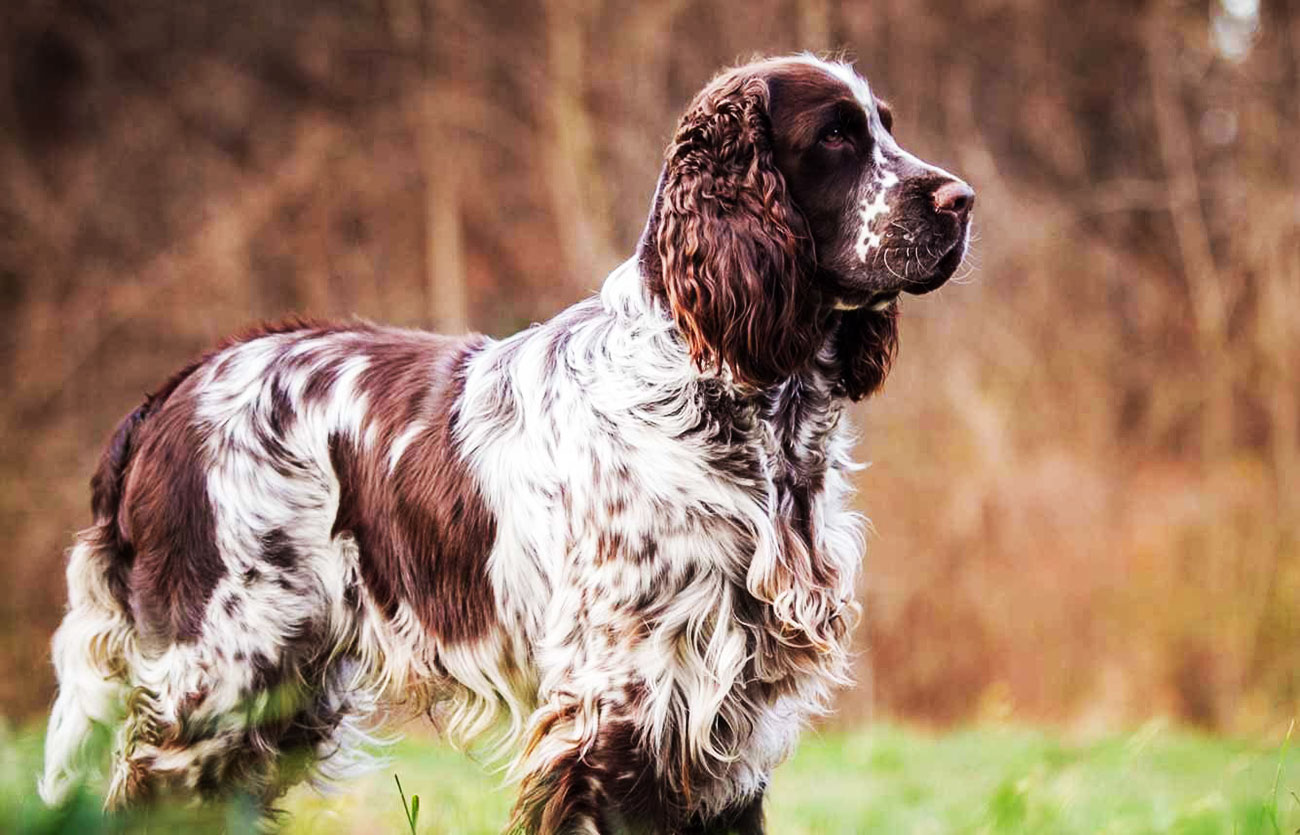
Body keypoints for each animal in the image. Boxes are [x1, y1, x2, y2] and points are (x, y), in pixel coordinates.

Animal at [40, 55, 972, 827]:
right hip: (218, 684)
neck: (731, 403)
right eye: (837, 137)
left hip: (273, 702)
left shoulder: (724, 732)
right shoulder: (621, 716)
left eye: (886, 126)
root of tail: (165, 398)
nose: (962, 199)